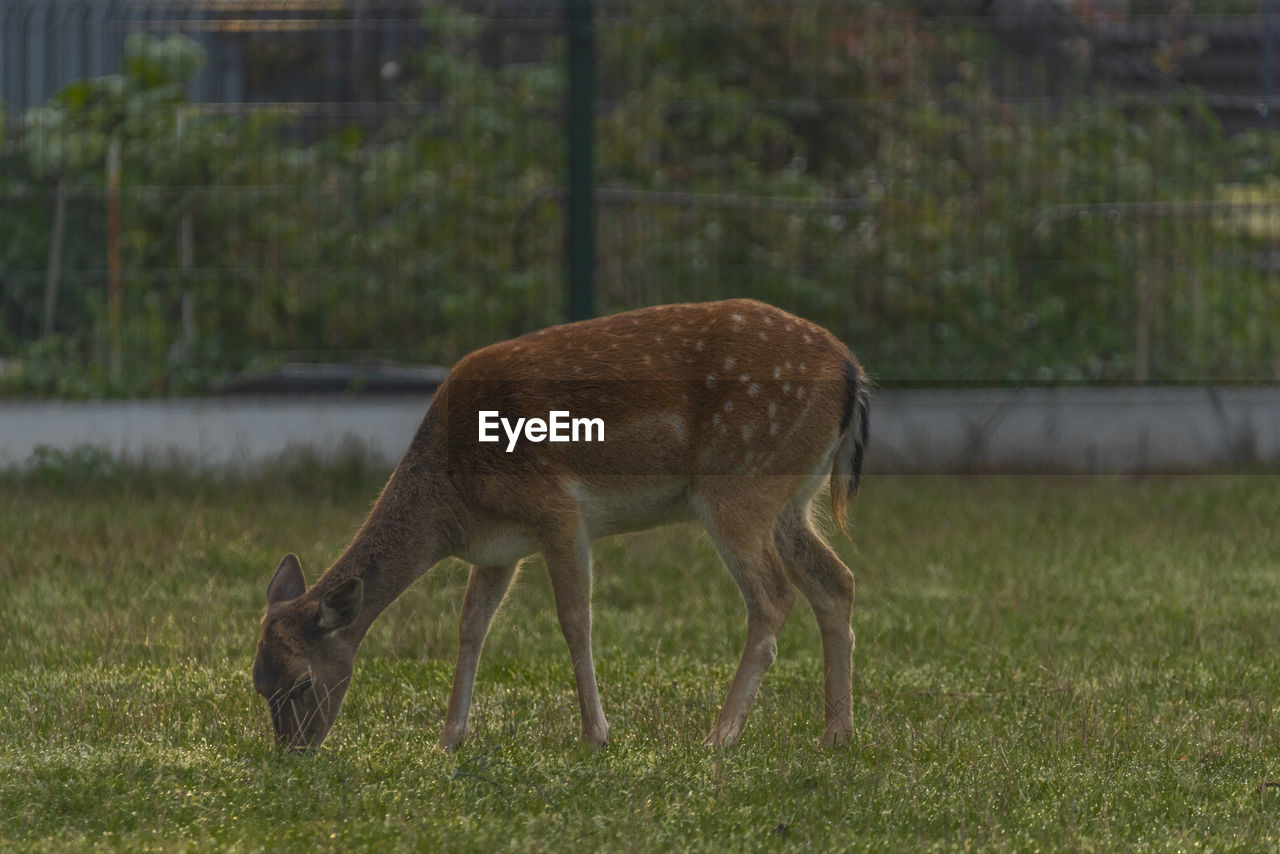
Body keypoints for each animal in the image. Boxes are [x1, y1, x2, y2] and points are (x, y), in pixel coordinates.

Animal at [249, 297, 870, 752]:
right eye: (257, 683)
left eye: (301, 681)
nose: (294, 753)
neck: (452, 502)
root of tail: (853, 372)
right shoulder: (497, 547)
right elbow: (471, 626)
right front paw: (449, 739)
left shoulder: (558, 511)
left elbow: (574, 620)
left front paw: (597, 736)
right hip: (791, 498)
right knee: (837, 580)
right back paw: (836, 734)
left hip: (739, 481)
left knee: (773, 596)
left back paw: (718, 737)